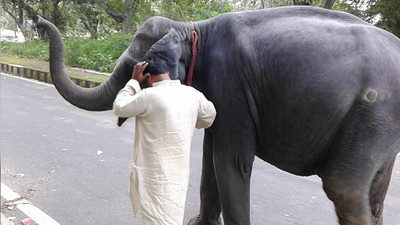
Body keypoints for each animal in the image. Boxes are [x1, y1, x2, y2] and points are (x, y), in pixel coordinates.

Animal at [35, 5, 400, 225]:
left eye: (133, 67)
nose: (37, 21)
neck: (193, 28)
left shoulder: (231, 83)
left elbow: (229, 161)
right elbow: (211, 155)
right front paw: (199, 224)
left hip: (373, 112)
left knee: (344, 189)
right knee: (374, 191)